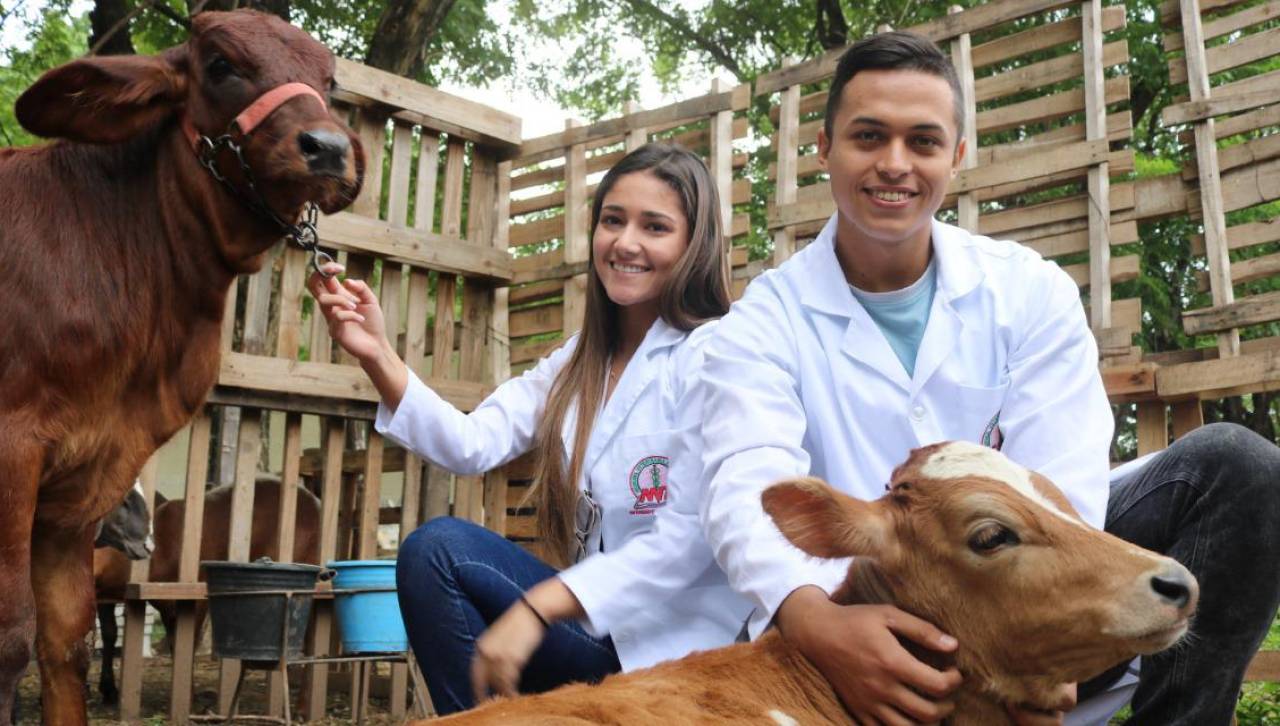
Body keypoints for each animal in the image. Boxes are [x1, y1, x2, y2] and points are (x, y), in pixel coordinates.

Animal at [0, 9, 363, 722]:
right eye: (220, 64)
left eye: (329, 79)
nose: (330, 149)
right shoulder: (12, 450)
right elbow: (11, 641)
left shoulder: (78, 486)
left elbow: (66, 641)